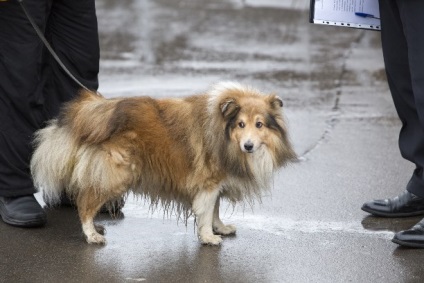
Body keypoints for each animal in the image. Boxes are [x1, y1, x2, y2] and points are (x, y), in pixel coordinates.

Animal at [29, 82, 296, 246]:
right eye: (241, 124)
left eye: (259, 124)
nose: (248, 146)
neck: (223, 130)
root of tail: (95, 111)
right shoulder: (208, 181)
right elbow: (206, 210)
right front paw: (208, 237)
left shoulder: (215, 183)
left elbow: (216, 209)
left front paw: (219, 228)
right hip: (117, 174)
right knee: (85, 203)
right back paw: (92, 234)